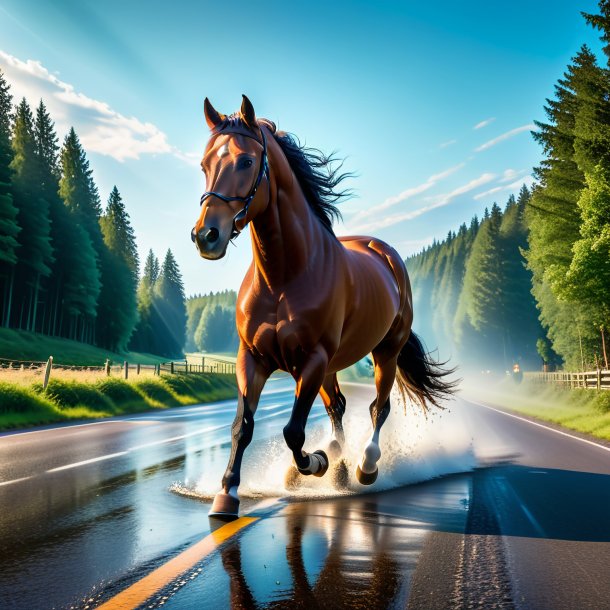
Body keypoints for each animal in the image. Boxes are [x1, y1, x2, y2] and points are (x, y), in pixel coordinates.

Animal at [192, 96, 454, 516]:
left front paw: (316, 464)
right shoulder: (252, 359)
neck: (283, 277)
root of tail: (385, 253)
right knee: (338, 408)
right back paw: (338, 463)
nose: (206, 235)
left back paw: (363, 467)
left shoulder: (312, 360)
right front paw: (227, 493)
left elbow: (293, 431)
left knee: (378, 408)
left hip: (385, 352)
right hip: (333, 366)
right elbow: (243, 426)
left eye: (246, 161)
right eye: (204, 164)